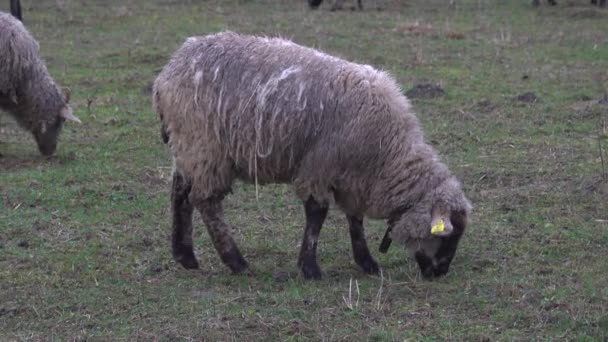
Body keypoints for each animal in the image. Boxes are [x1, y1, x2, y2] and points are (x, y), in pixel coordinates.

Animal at [154, 30, 472, 280]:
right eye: (448, 235)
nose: (440, 273)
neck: (388, 154)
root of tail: (167, 72)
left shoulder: (352, 176)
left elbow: (355, 219)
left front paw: (367, 262)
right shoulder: (320, 167)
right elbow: (317, 215)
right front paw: (310, 268)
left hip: (188, 146)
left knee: (180, 191)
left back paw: (185, 255)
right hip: (205, 146)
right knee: (206, 202)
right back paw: (236, 261)